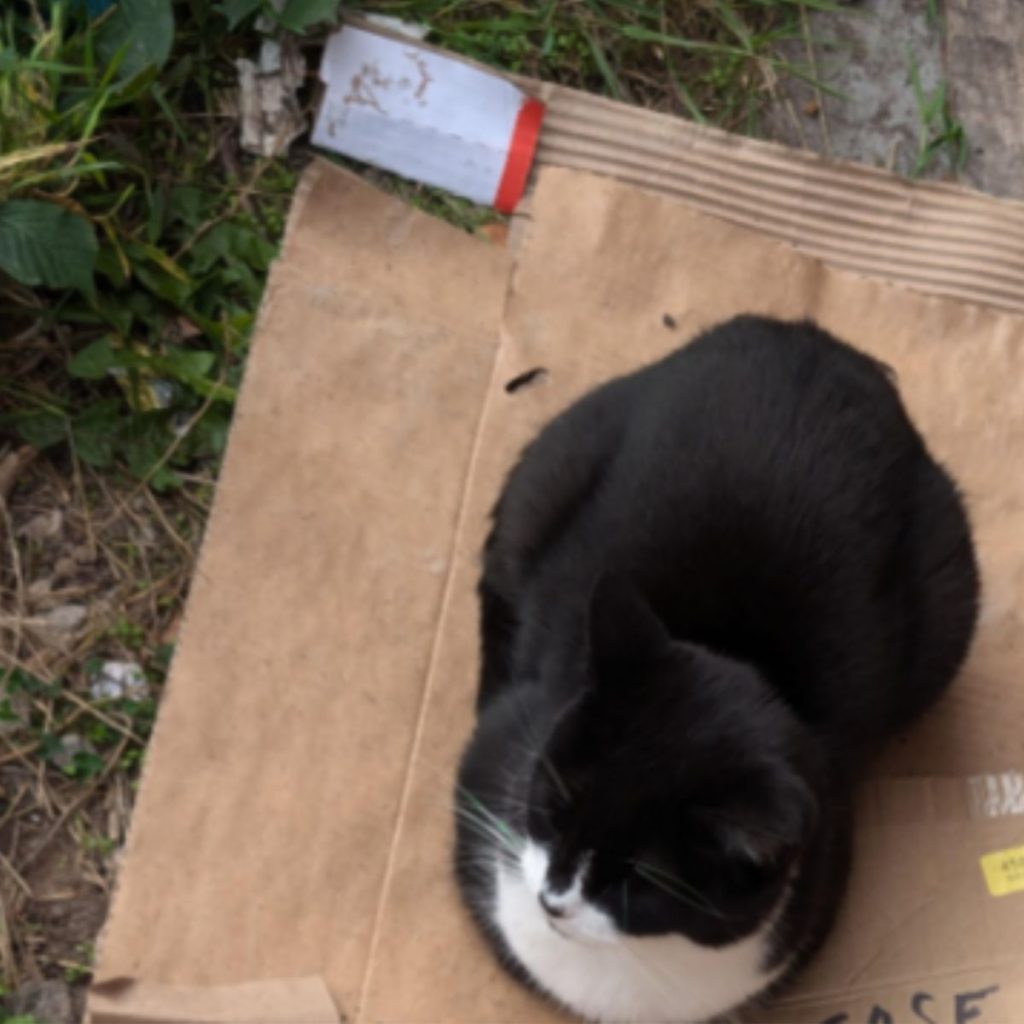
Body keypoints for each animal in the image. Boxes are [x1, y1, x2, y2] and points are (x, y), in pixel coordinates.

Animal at [452, 315, 978, 1019]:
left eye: (643, 877)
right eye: (554, 802)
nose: (553, 900)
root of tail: (812, 339)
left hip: (950, 590)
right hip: (555, 462)